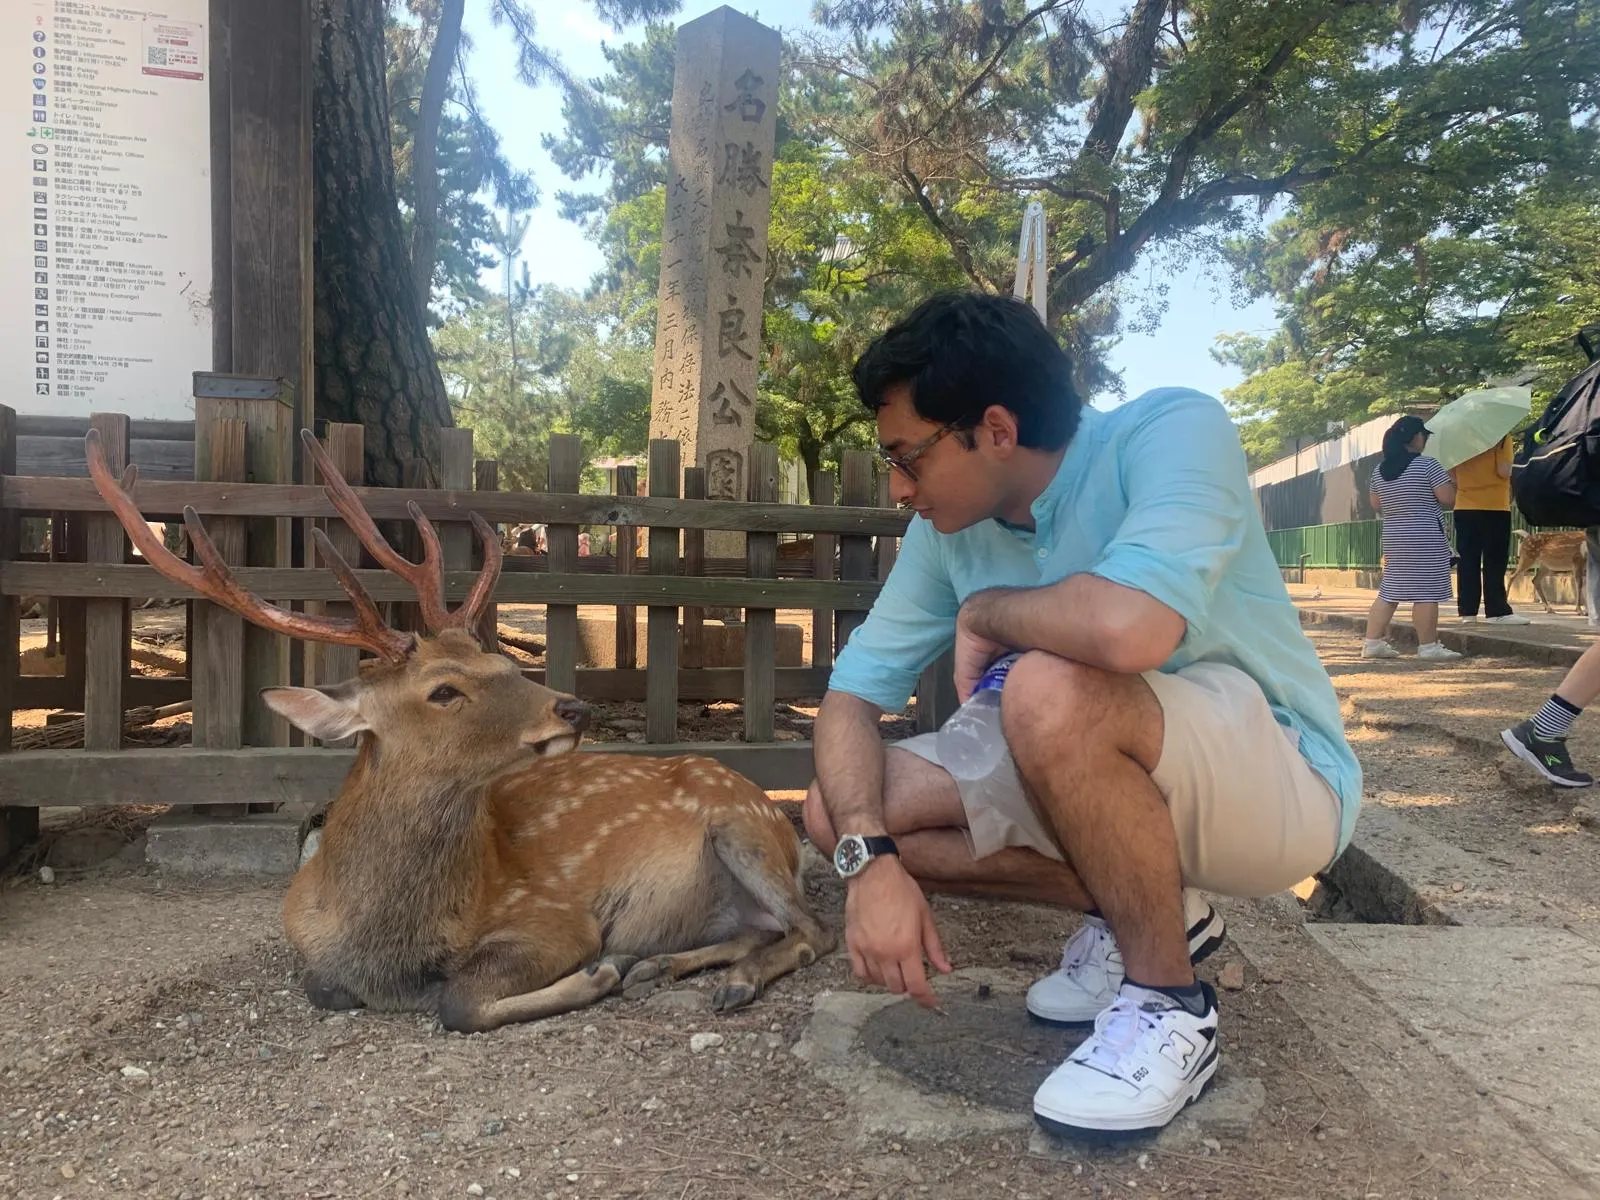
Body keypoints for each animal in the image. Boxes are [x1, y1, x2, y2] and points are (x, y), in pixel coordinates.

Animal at [83, 426, 834, 1033]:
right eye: (444, 690)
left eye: (501, 658)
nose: (575, 709)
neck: (384, 944)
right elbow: (328, 990)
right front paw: (621, 969)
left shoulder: (555, 915)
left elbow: (458, 1001)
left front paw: (598, 973)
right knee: (766, 928)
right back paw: (666, 966)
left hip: (745, 827)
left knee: (813, 929)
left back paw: (721, 981)